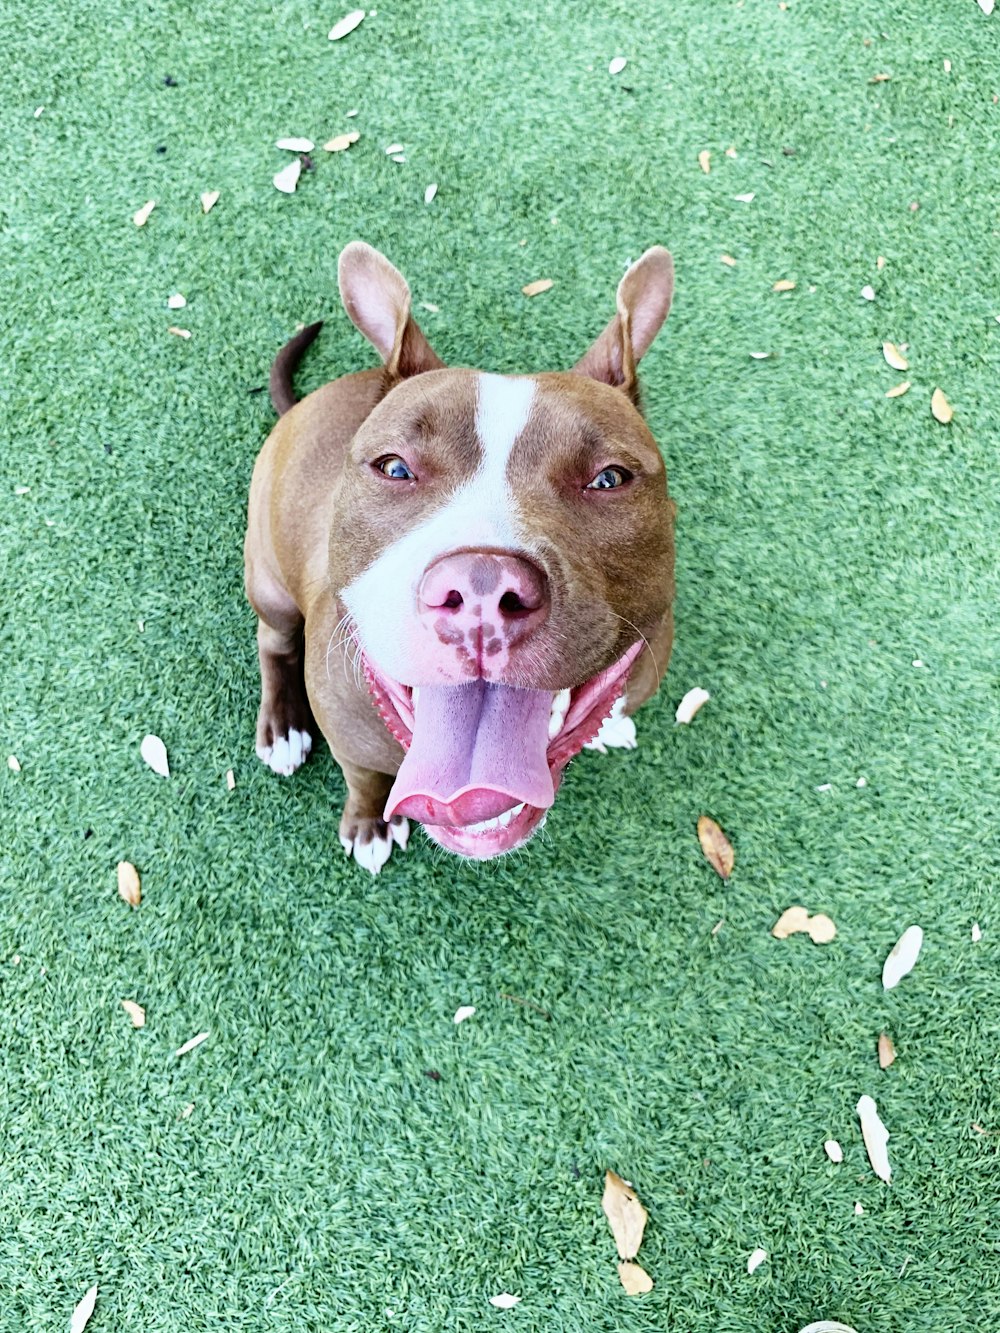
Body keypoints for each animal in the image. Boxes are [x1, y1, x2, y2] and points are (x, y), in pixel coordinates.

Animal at [245, 243, 677, 874]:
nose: (481, 587)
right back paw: (282, 729)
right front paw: (370, 821)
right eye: (395, 467)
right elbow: (364, 778)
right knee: (274, 641)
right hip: (269, 582)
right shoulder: (348, 733)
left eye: (609, 478)